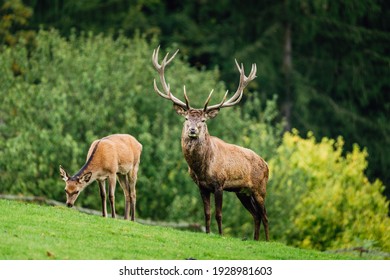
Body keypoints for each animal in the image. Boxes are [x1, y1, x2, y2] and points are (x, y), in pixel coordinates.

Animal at [152, 46, 268, 241]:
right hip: (242, 192)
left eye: (204, 120)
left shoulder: (219, 184)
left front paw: (220, 235)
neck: (202, 167)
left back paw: (267, 240)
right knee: (256, 215)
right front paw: (207, 232)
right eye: (186, 118)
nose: (192, 130)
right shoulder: (202, 186)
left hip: (260, 188)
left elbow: (218, 214)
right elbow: (206, 213)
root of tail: (267, 165)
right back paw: (256, 240)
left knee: (265, 216)